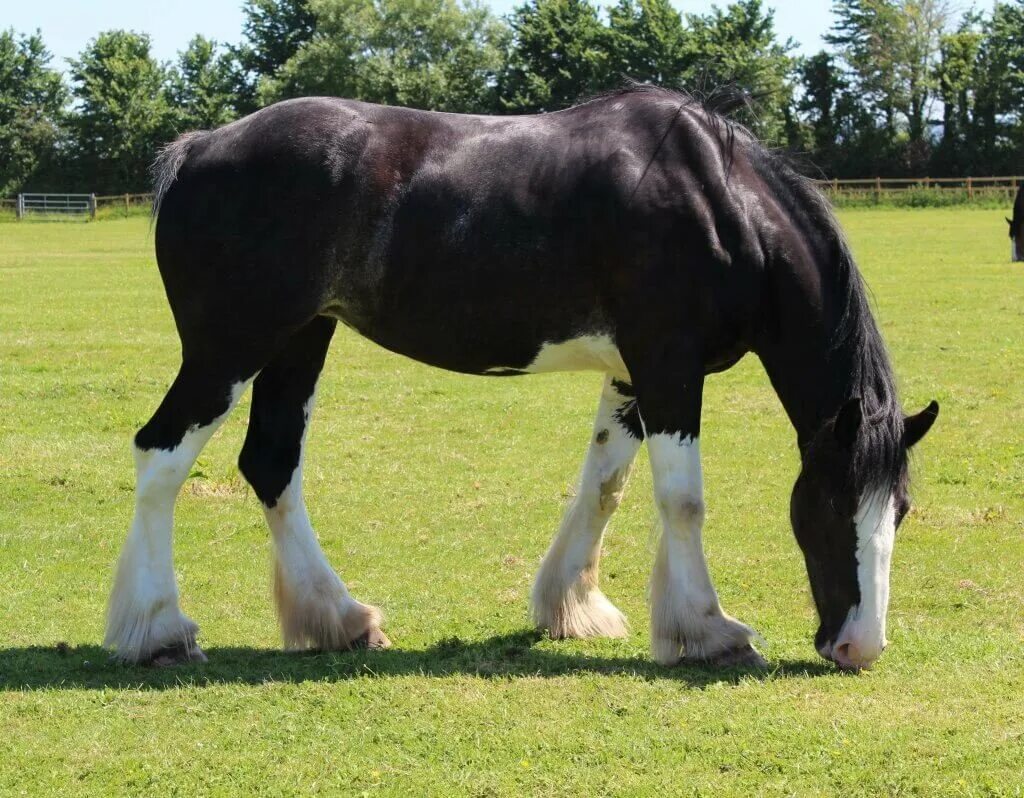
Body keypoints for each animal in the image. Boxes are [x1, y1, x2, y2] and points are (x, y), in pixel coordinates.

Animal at [103, 86, 937, 676]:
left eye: (899, 509)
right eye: (827, 507)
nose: (858, 647)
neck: (717, 201)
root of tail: (201, 147)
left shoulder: (632, 376)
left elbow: (604, 488)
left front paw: (570, 606)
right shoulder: (669, 367)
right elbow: (683, 502)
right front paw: (711, 632)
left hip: (300, 338)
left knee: (271, 464)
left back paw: (339, 619)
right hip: (230, 349)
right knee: (160, 456)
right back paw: (157, 631)